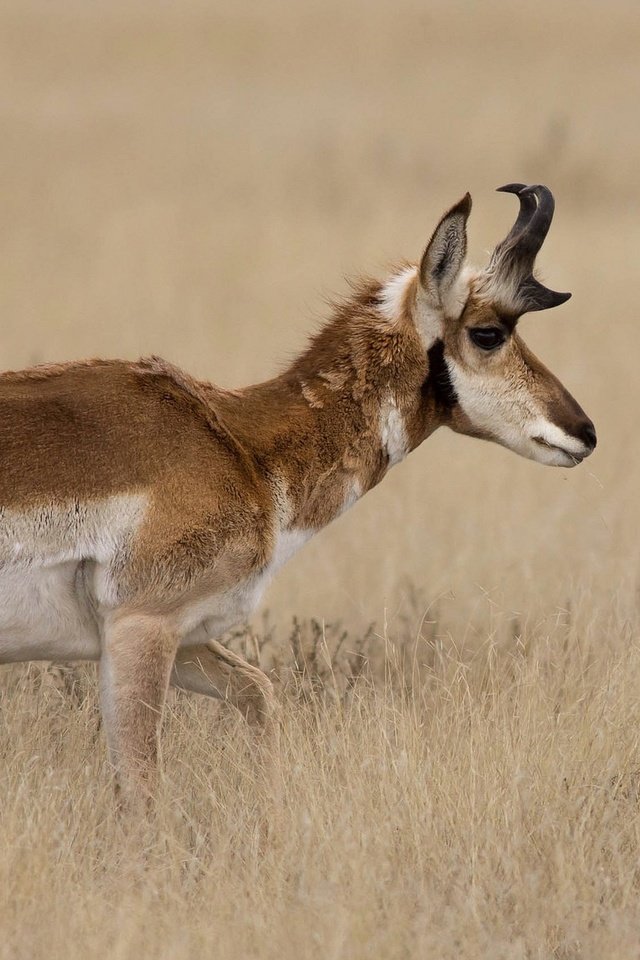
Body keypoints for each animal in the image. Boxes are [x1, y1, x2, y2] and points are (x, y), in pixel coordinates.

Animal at [0, 184, 596, 800]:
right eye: (488, 333)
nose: (585, 432)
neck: (241, 446)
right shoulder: (141, 626)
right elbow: (144, 789)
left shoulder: (181, 636)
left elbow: (259, 693)